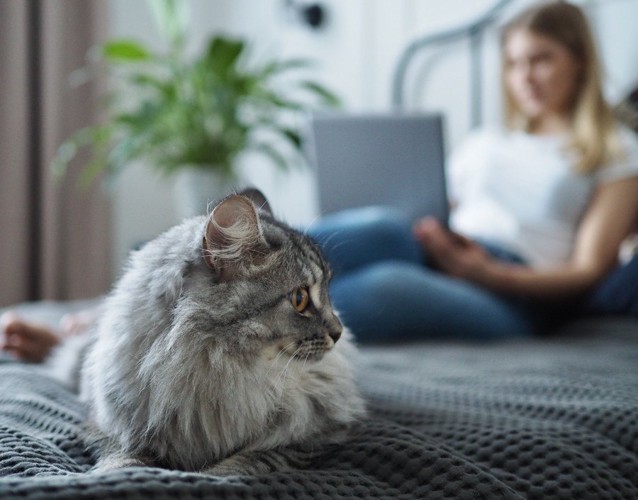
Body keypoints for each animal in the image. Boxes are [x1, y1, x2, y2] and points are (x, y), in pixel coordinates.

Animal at [60, 188, 370, 476]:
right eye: (300, 299)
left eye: (328, 292)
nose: (339, 332)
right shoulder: (107, 424)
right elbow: (121, 455)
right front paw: (120, 473)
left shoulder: (315, 435)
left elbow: (249, 461)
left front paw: (209, 475)